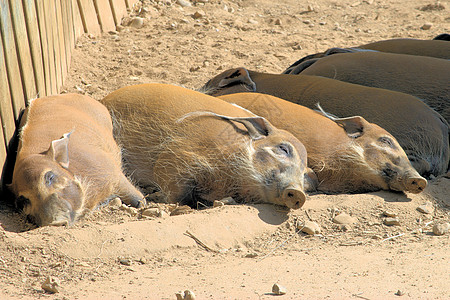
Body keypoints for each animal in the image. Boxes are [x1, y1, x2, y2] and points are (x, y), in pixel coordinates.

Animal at [10, 93, 144, 225]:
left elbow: (133, 195)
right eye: (23, 200)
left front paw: (142, 203)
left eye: (50, 177)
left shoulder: (111, 169)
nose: (55, 222)